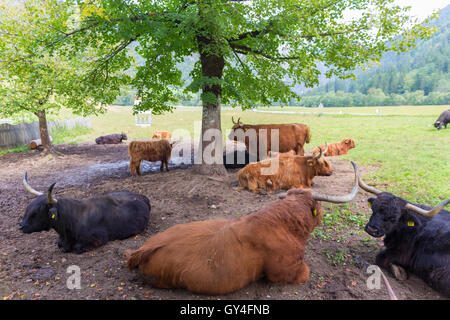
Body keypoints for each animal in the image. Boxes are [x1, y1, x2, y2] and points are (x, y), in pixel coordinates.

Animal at [19, 171, 151, 254]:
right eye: (28, 207)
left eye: (37, 211)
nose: (21, 226)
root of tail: (140, 195)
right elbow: (59, 244)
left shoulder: (98, 238)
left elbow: (77, 247)